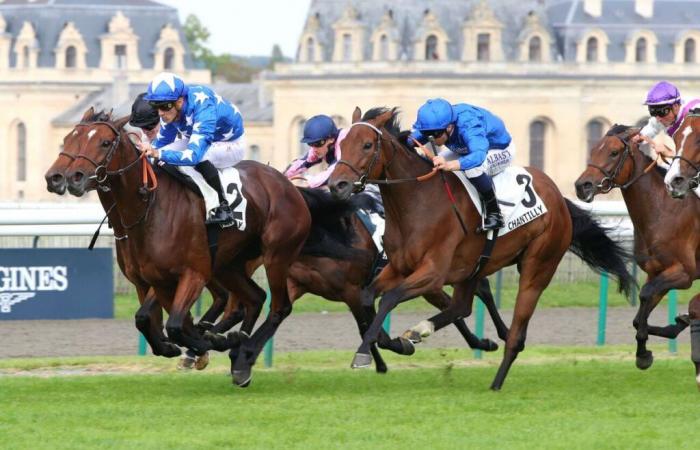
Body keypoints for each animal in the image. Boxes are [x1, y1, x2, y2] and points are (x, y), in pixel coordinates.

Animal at [46, 108, 312, 386]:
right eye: (68, 139)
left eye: (105, 142)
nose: (66, 177)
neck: (148, 209)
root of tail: (289, 185)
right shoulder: (153, 280)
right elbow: (151, 320)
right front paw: (179, 346)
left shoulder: (192, 273)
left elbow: (174, 324)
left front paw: (210, 343)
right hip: (229, 265)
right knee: (254, 298)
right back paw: (238, 355)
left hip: (276, 256)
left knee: (278, 307)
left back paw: (242, 354)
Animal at [328, 108, 636, 390]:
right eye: (340, 145)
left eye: (367, 145)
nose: (337, 184)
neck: (418, 203)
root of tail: (558, 198)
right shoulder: (398, 267)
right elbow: (368, 297)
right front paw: (392, 343)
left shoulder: (433, 272)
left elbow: (390, 298)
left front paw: (364, 353)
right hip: (474, 267)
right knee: (461, 306)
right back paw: (422, 331)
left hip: (538, 266)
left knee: (515, 333)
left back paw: (496, 382)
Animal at [576, 124, 700, 384]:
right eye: (593, 149)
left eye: (614, 152)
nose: (582, 186)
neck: (662, 211)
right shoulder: (657, 273)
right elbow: (638, 317)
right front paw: (670, 329)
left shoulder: (684, 273)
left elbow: (644, 295)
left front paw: (643, 353)